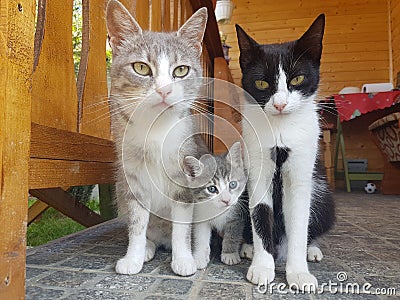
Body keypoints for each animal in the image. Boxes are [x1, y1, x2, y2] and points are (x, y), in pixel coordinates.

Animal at [104, 0, 208, 276]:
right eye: (141, 67)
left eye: (181, 70)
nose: (164, 90)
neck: (156, 130)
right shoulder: (132, 179)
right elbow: (137, 223)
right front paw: (133, 258)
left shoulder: (185, 179)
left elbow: (181, 228)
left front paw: (184, 259)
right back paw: (149, 248)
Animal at [238, 15, 334, 292]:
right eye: (261, 83)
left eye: (297, 79)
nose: (280, 104)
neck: (280, 129)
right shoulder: (257, 168)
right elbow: (260, 215)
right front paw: (262, 267)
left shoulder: (301, 175)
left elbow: (299, 222)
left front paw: (299, 273)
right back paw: (247, 247)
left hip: (323, 193)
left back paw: (312, 249)